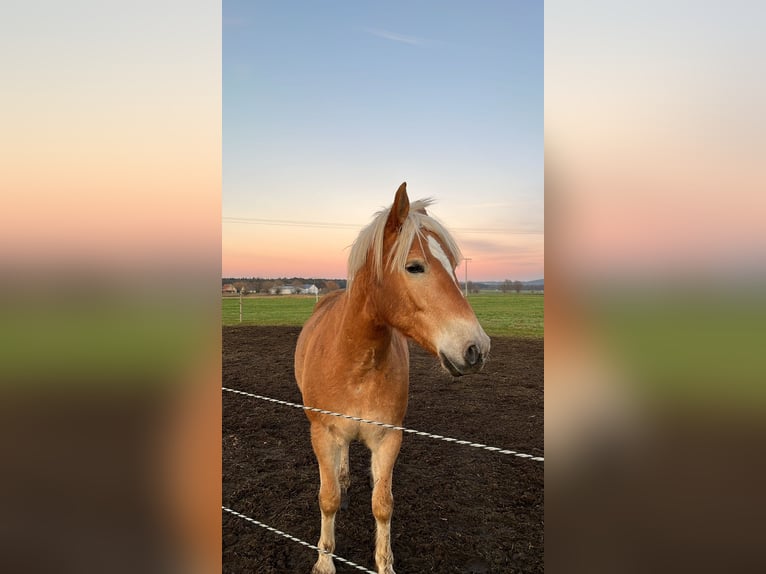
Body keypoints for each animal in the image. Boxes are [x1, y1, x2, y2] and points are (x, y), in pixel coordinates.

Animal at [294, 182, 492, 574]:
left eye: (454, 266)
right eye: (414, 266)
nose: (477, 348)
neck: (355, 363)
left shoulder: (388, 438)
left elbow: (383, 504)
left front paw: (384, 564)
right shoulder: (323, 434)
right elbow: (328, 498)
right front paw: (324, 560)